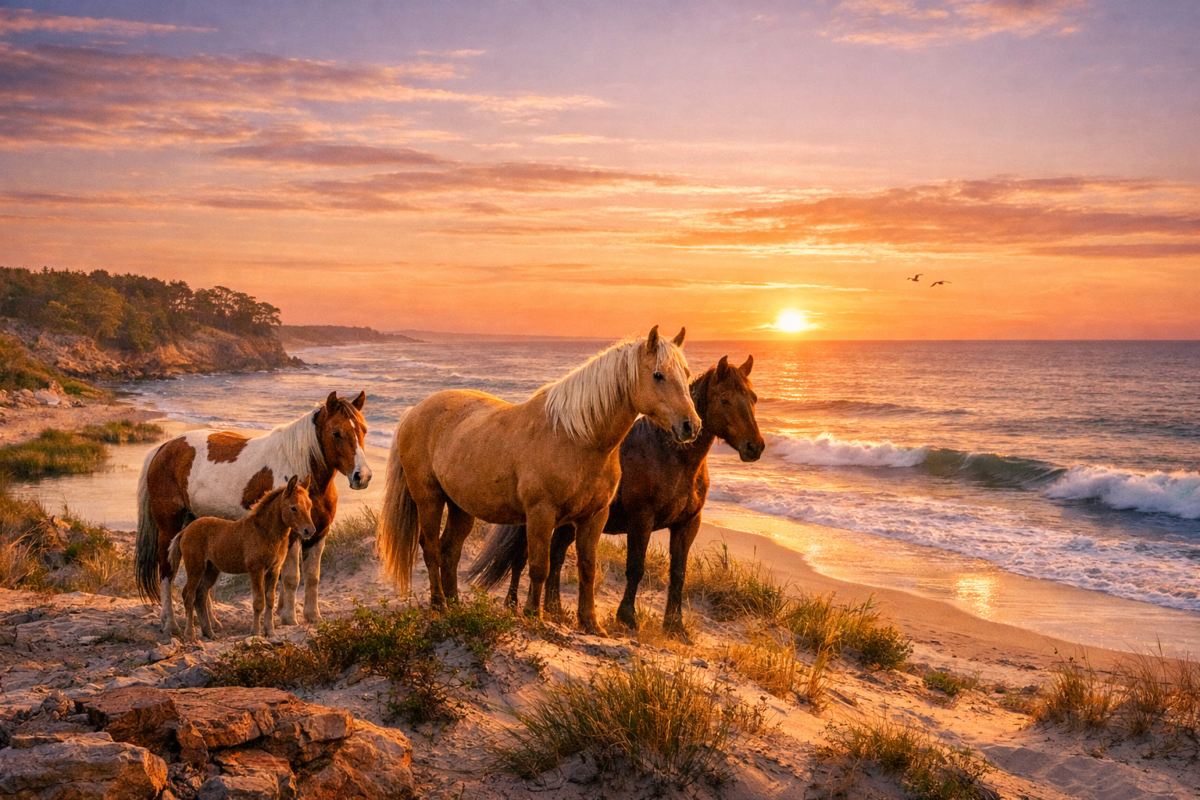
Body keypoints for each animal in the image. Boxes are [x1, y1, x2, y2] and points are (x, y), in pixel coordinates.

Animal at [169, 475, 316, 642]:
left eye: (310, 505)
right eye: (293, 507)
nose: (309, 531)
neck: (264, 532)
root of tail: (185, 531)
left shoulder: (274, 570)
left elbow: (270, 600)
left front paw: (271, 632)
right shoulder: (256, 570)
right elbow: (259, 601)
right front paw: (256, 632)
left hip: (211, 570)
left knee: (200, 596)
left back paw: (210, 633)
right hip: (195, 567)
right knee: (189, 595)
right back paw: (190, 635)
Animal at [376, 326, 701, 635]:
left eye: (686, 375)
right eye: (658, 375)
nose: (691, 426)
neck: (578, 438)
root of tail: (414, 411)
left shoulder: (594, 517)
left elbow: (587, 569)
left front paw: (591, 624)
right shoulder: (541, 514)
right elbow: (539, 566)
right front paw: (534, 615)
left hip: (461, 507)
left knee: (450, 550)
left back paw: (455, 605)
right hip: (429, 499)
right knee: (431, 547)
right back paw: (440, 605)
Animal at [468, 354, 763, 636]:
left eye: (753, 398)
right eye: (724, 400)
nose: (755, 447)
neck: (669, 457)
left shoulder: (687, 524)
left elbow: (678, 574)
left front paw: (675, 626)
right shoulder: (642, 520)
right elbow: (635, 568)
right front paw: (628, 618)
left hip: (568, 523)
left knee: (556, 556)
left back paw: (554, 610)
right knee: (521, 558)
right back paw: (514, 604)